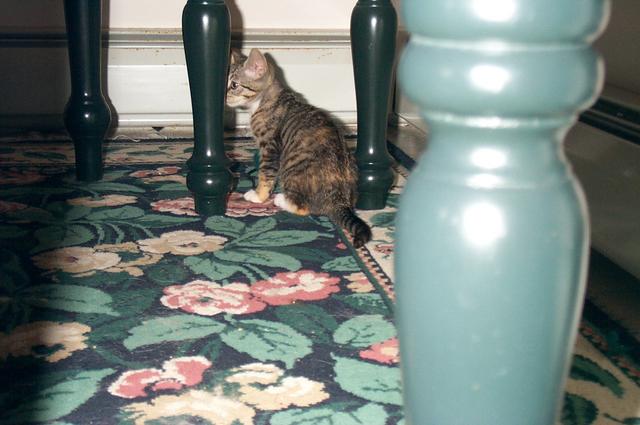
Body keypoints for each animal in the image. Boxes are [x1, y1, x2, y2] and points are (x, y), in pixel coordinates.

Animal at [226, 48, 372, 248]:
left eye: (234, 85)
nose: (223, 97)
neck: (265, 100)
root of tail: (338, 200)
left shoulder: (270, 147)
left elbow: (266, 174)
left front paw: (259, 196)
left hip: (291, 169)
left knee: (304, 208)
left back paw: (281, 199)